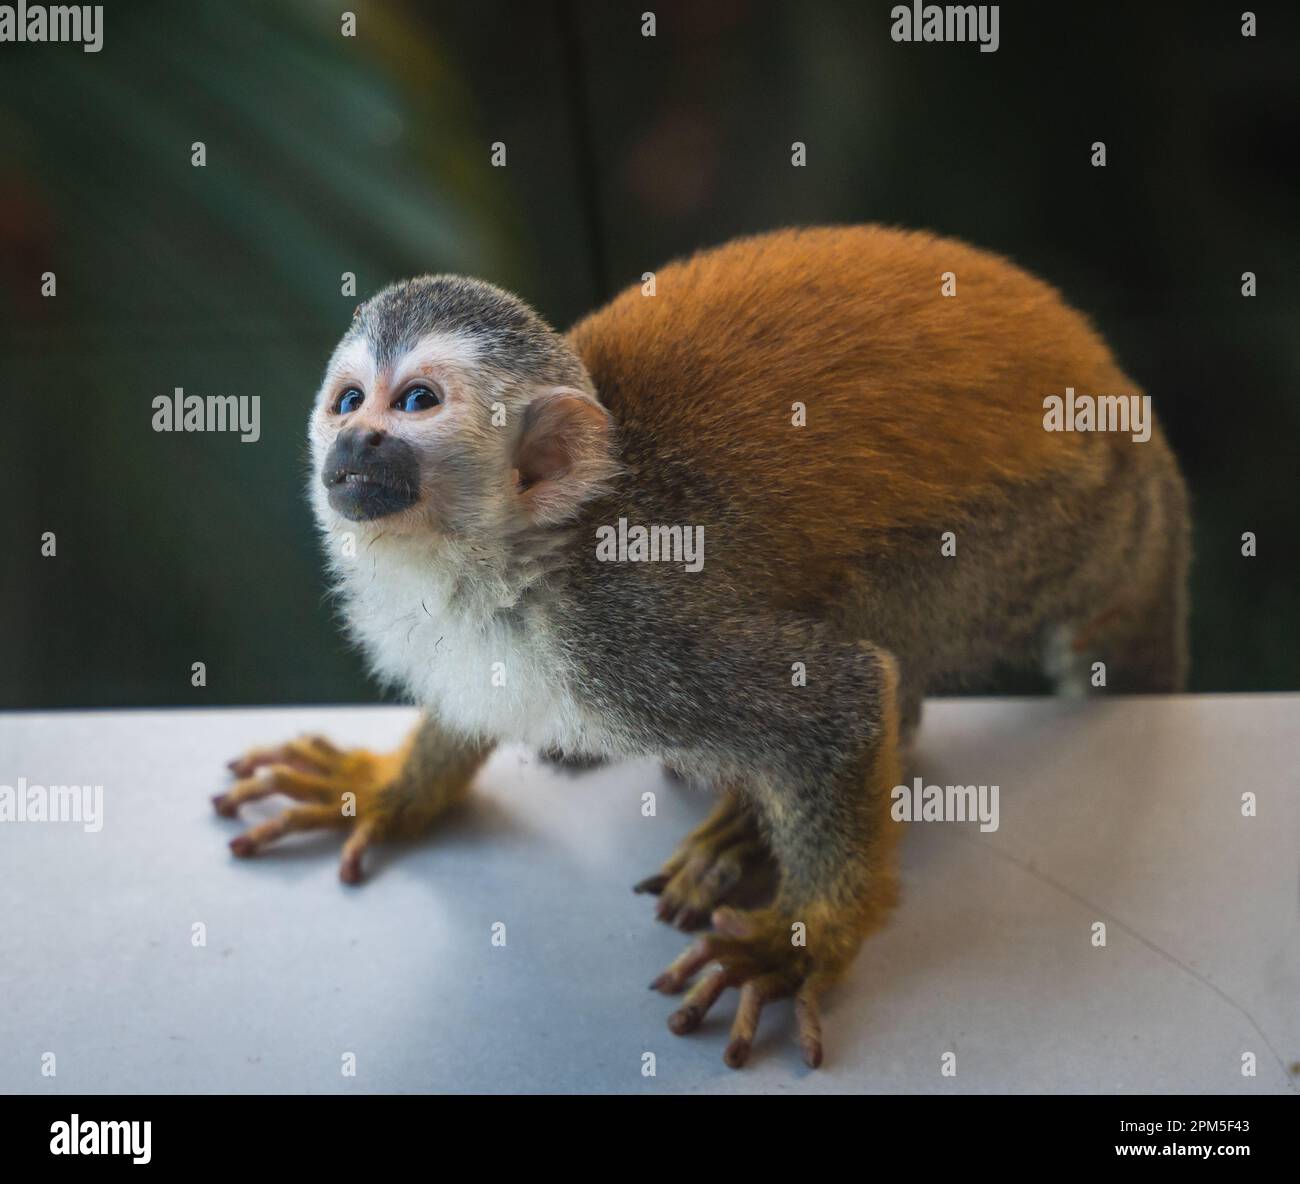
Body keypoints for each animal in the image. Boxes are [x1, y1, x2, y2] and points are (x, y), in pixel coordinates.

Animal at [213, 225, 1190, 1069]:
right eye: (349, 400)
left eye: (416, 402)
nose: (355, 439)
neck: (529, 554)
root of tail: (1131, 422)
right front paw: (386, 788)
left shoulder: (630, 628)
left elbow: (839, 698)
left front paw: (804, 945)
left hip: (1040, 528)